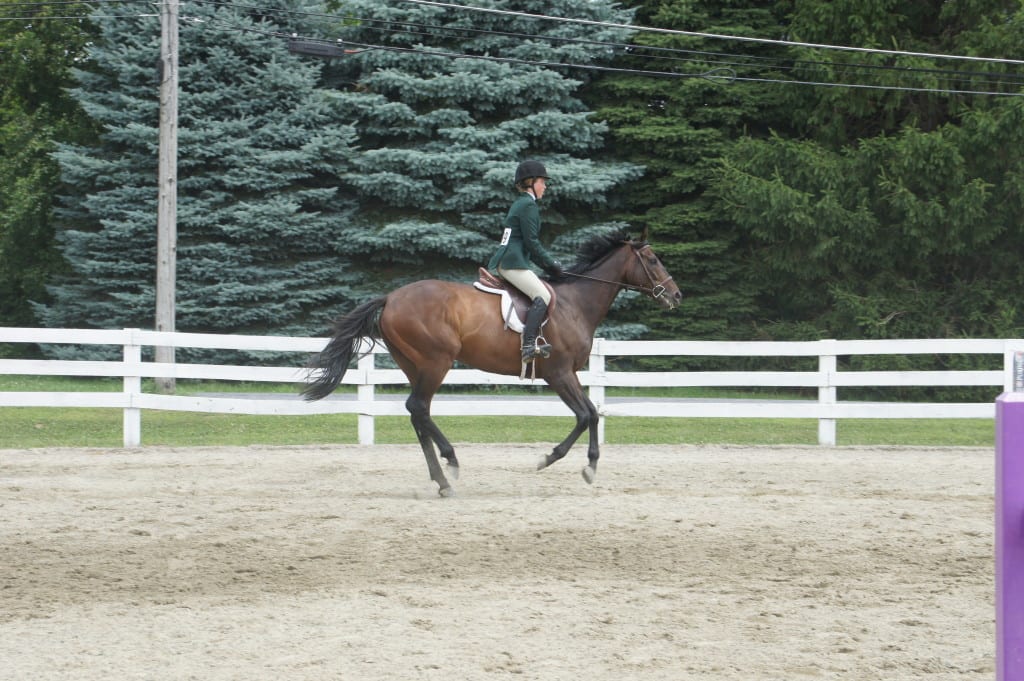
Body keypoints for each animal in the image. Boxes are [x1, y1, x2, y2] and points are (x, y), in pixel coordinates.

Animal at [303, 228, 679, 493]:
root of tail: (391, 297)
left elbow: (592, 414)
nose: (676, 295)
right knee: (418, 407)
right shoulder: (559, 373)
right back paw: (450, 463)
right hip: (436, 361)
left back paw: (442, 480)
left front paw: (588, 464)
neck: (576, 303)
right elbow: (585, 415)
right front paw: (556, 459)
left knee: (418, 412)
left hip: (415, 365)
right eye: (654, 260)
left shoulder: (567, 373)